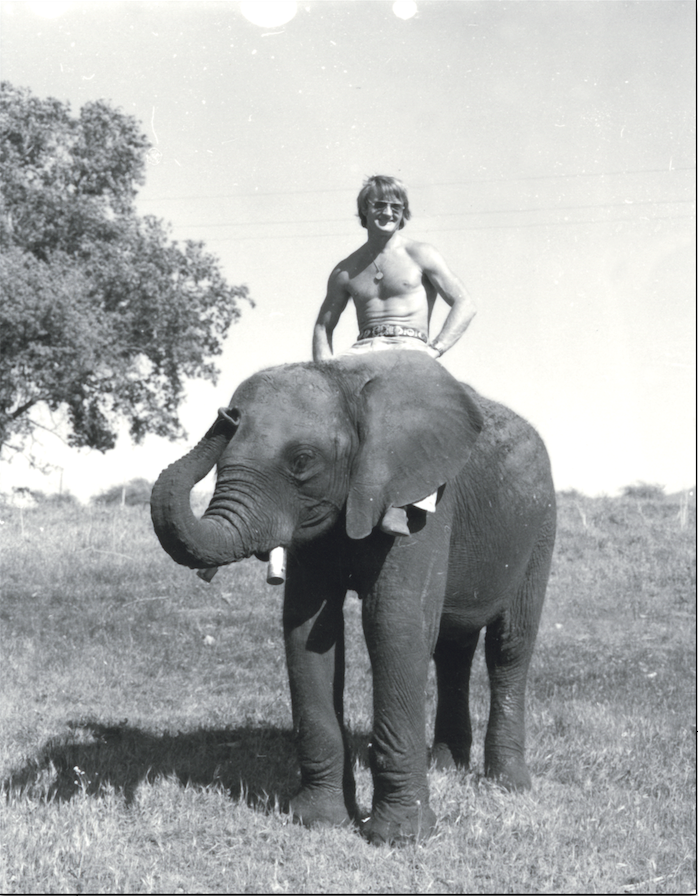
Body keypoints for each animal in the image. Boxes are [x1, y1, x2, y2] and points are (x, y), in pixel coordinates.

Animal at [150, 350, 556, 845]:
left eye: (302, 461)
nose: (226, 416)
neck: (342, 380)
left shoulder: (423, 498)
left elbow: (392, 622)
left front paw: (401, 837)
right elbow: (307, 630)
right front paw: (319, 821)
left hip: (541, 525)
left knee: (509, 647)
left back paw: (508, 785)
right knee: (451, 647)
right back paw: (445, 768)